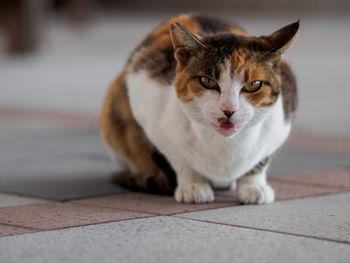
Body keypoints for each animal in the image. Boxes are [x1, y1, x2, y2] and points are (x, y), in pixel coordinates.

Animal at [100, 13, 300, 205]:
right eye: (207, 81)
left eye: (253, 85)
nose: (229, 109)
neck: (224, 145)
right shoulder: (147, 99)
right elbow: (179, 159)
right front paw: (193, 185)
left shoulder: (281, 124)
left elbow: (261, 161)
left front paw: (253, 186)